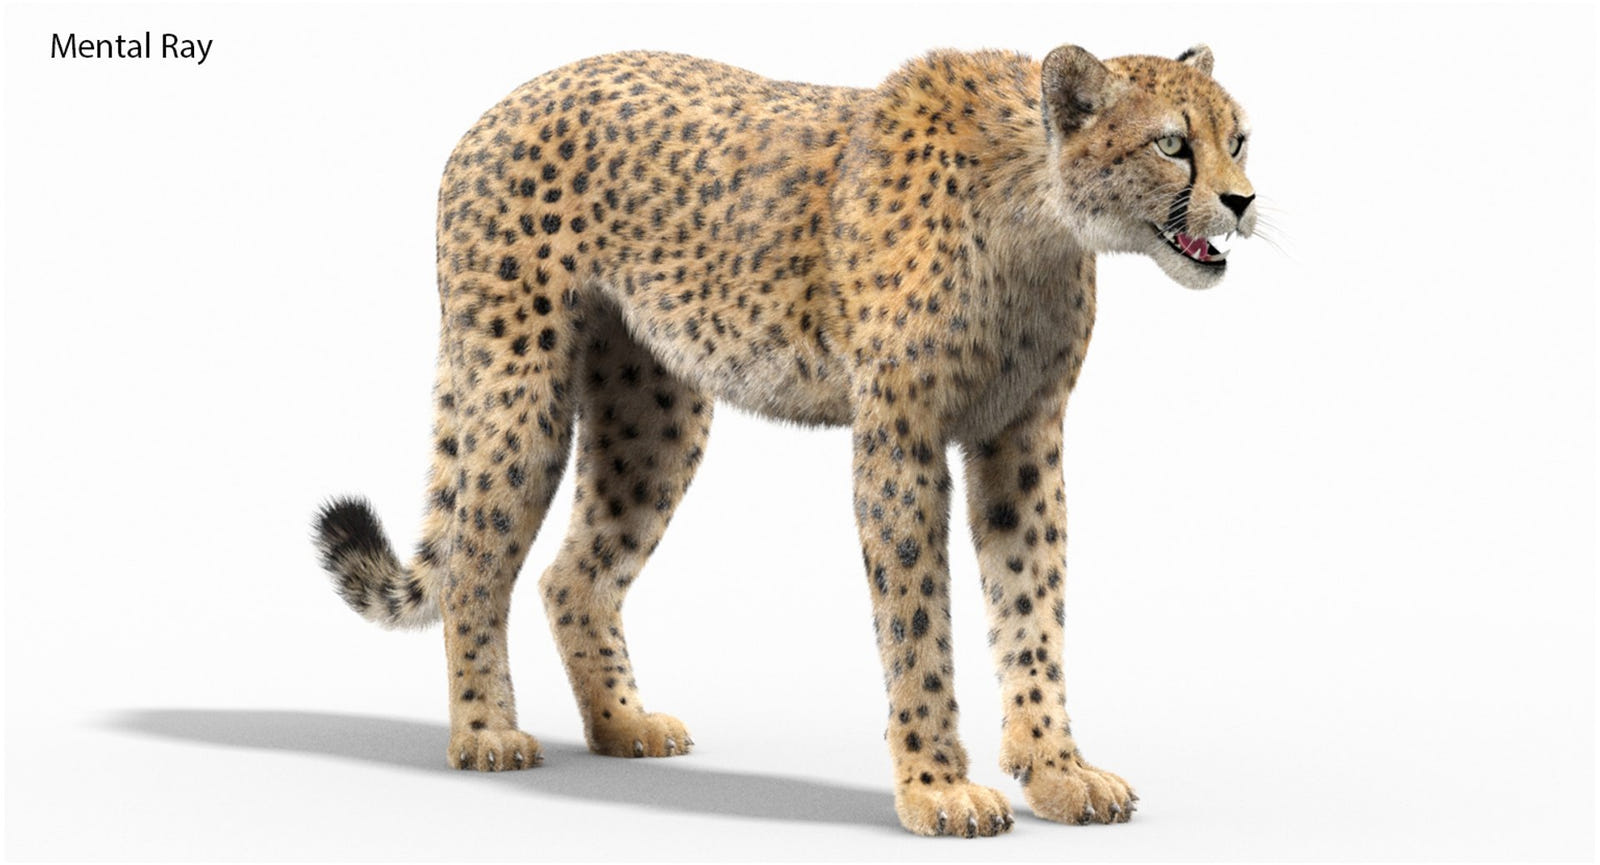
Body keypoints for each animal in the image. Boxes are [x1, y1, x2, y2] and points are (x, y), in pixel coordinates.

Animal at [313, 42, 1257, 838]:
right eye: (1173, 145)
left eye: (1239, 138)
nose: (1243, 201)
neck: (1039, 214)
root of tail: (501, 106)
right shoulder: (899, 439)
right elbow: (916, 618)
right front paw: (938, 786)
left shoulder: (1021, 439)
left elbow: (1033, 607)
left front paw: (1058, 768)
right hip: (520, 383)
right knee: (475, 561)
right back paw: (486, 734)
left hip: (655, 412)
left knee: (572, 572)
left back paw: (622, 723)